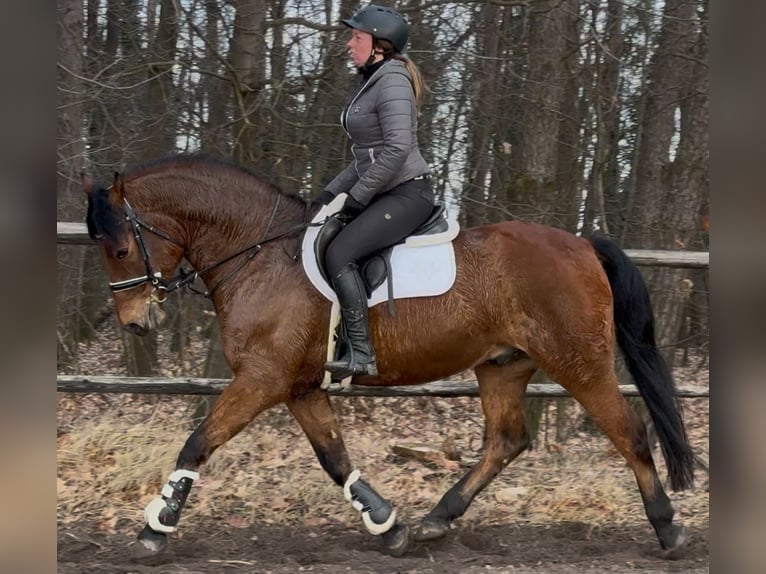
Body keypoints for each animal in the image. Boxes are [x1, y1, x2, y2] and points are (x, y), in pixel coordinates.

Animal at [82, 155, 696, 560]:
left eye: (121, 248)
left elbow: (198, 441)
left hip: (579, 364)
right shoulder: (298, 386)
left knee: (630, 433)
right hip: (503, 364)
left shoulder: (262, 379)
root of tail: (583, 244)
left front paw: (156, 526)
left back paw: (668, 529)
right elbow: (334, 458)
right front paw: (388, 525)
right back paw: (434, 522)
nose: (134, 323)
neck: (258, 252)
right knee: (505, 441)